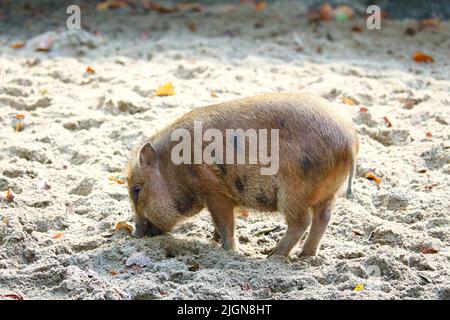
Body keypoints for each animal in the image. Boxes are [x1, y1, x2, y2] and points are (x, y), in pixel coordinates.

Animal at [123, 92, 358, 258]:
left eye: (136, 190)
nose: (134, 234)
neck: (175, 166)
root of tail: (350, 142)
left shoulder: (215, 191)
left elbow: (225, 224)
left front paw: (231, 252)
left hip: (294, 191)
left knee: (302, 222)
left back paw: (272, 256)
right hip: (329, 192)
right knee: (323, 217)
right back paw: (306, 256)